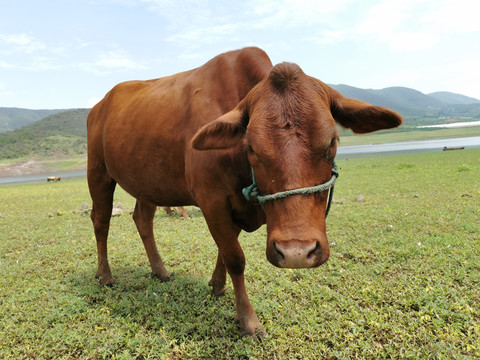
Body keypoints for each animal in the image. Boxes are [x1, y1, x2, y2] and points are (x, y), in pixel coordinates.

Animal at [87, 47, 402, 338]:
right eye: (251, 147)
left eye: (332, 142)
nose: (296, 253)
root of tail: (101, 103)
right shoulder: (212, 201)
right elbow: (235, 258)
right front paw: (249, 321)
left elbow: (225, 251)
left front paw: (217, 285)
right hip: (98, 172)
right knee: (101, 221)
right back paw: (104, 275)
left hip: (148, 183)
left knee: (143, 219)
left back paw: (160, 270)